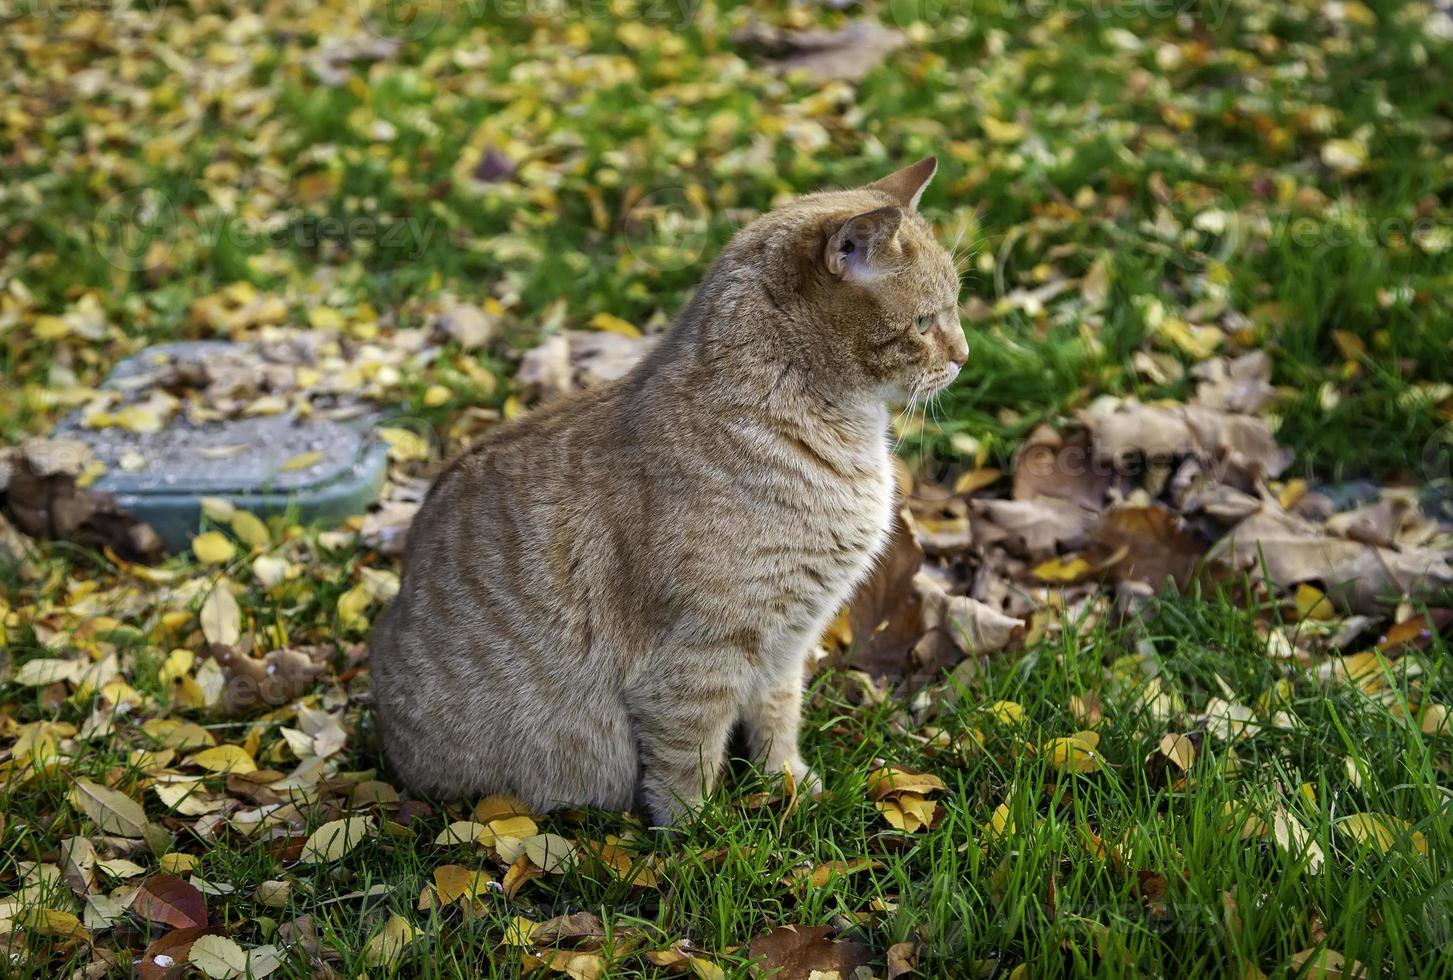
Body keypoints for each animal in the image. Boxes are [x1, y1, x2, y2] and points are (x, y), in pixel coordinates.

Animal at [369, 156, 970, 820]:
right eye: (924, 322)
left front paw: (785, 784)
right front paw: (706, 833)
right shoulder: (699, 657)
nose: (966, 356)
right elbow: (688, 763)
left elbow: (778, 718)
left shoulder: (787, 643)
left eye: (955, 308)